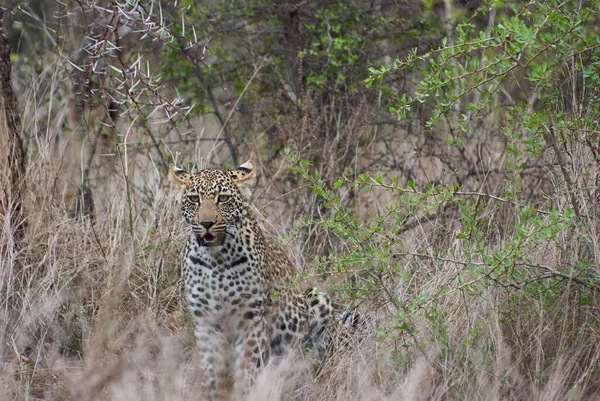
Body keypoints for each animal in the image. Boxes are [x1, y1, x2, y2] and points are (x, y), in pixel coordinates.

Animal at [169, 160, 340, 400]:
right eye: (194, 199)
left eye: (223, 198)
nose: (206, 223)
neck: (216, 259)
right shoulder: (206, 321)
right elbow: (213, 373)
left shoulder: (250, 320)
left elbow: (247, 368)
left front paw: (244, 393)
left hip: (317, 299)